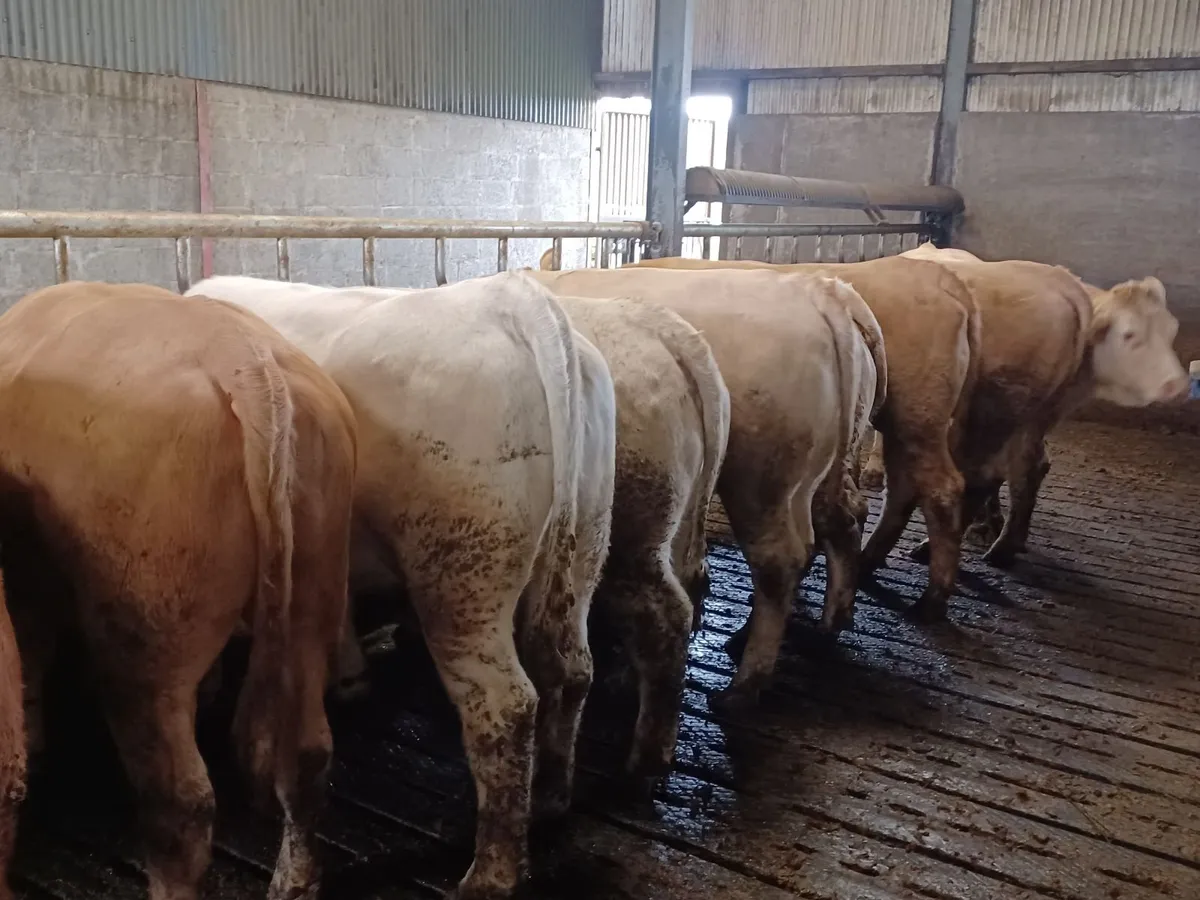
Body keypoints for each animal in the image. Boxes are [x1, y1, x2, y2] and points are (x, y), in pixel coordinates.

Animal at [0, 281, 357, 900]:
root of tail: (248, 364)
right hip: (316, 588)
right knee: (308, 757)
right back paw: (293, 882)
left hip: (143, 631)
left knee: (179, 806)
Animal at [188, 272, 617, 900]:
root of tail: (514, 299)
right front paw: (349, 678)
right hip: (585, 538)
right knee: (572, 667)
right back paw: (552, 798)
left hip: (459, 572)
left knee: (505, 704)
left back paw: (490, 874)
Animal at [528, 267, 885, 710]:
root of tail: (824, 292)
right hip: (817, 472)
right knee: (837, 522)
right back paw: (822, 625)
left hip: (760, 480)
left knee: (778, 560)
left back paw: (741, 687)